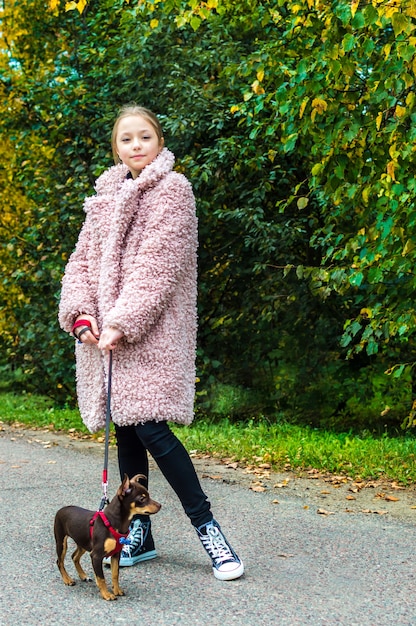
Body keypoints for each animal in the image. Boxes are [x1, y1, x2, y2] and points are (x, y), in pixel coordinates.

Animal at [54, 472, 161, 600]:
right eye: (142, 498)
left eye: (149, 495)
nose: (160, 505)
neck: (114, 523)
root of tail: (62, 509)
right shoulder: (96, 556)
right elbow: (101, 578)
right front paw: (106, 594)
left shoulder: (115, 554)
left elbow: (115, 574)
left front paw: (117, 590)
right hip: (61, 542)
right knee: (60, 562)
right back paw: (67, 579)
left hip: (83, 543)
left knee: (74, 556)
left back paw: (83, 575)